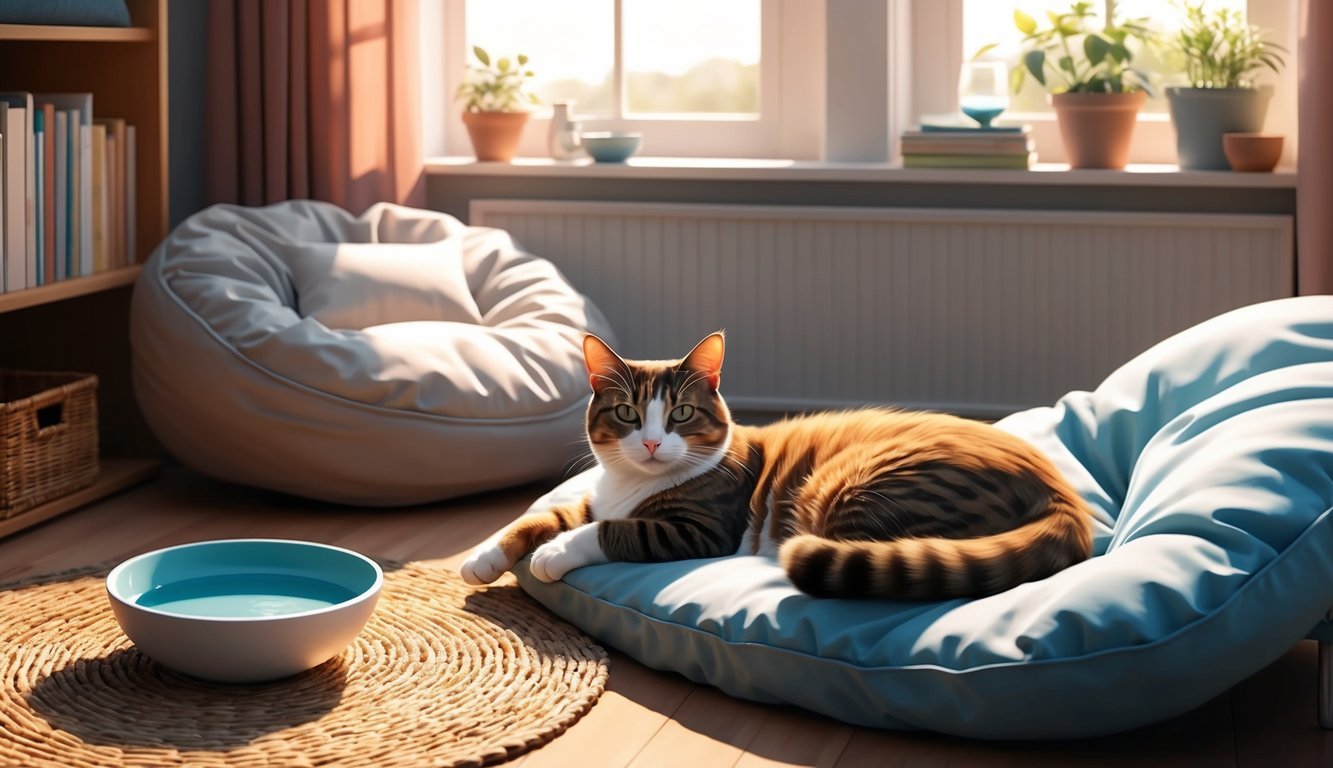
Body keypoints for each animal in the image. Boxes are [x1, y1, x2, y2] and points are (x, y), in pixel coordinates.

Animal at [461, 332, 1093, 600]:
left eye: (681, 413)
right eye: (627, 413)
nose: (652, 443)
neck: (633, 483)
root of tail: (1059, 490)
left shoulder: (697, 529)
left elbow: (610, 530)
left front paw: (554, 556)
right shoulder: (594, 497)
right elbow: (539, 516)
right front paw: (482, 557)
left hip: (861, 486)